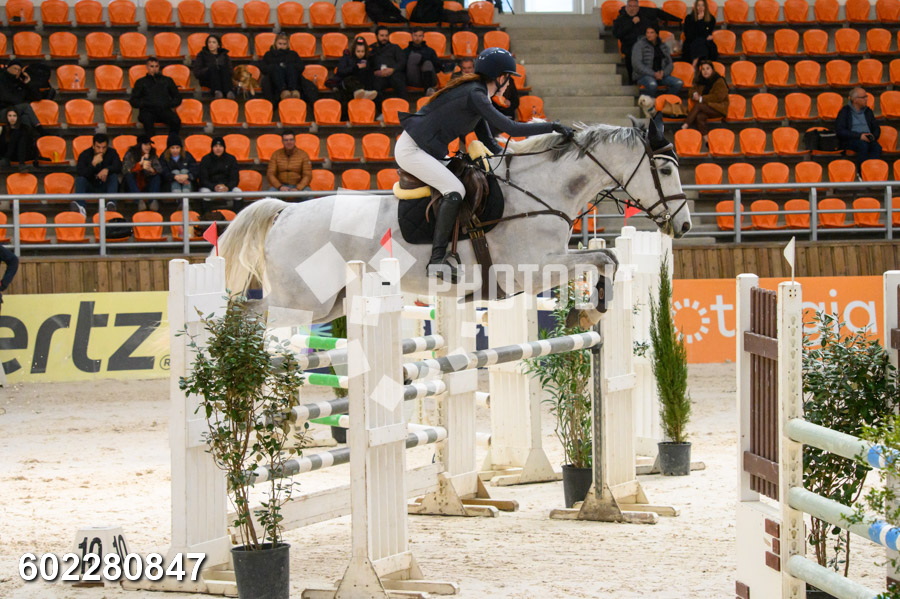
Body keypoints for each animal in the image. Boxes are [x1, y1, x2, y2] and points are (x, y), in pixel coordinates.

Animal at [219, 120, 691, 327]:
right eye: (666, 169)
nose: (684, 225)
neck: (540, 190)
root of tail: (285, 212)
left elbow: (607, 257)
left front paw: (590, 311)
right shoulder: (531, 270)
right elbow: (603, 258)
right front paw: (589, 312)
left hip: (330, 300)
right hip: (303, 301)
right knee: (254, 318)